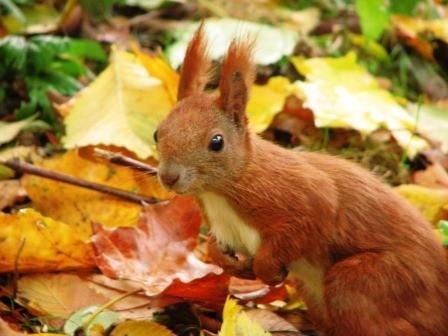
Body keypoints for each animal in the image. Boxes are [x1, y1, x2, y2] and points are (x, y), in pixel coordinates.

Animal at [156, 25, 448, 334]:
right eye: (156, 133)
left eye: (216, 142)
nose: (169, 176)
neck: (220, 193)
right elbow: (216, 249)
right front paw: (227, 261)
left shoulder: (302, 194)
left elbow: (306, 223)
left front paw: (266, 269)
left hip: (371, 282)